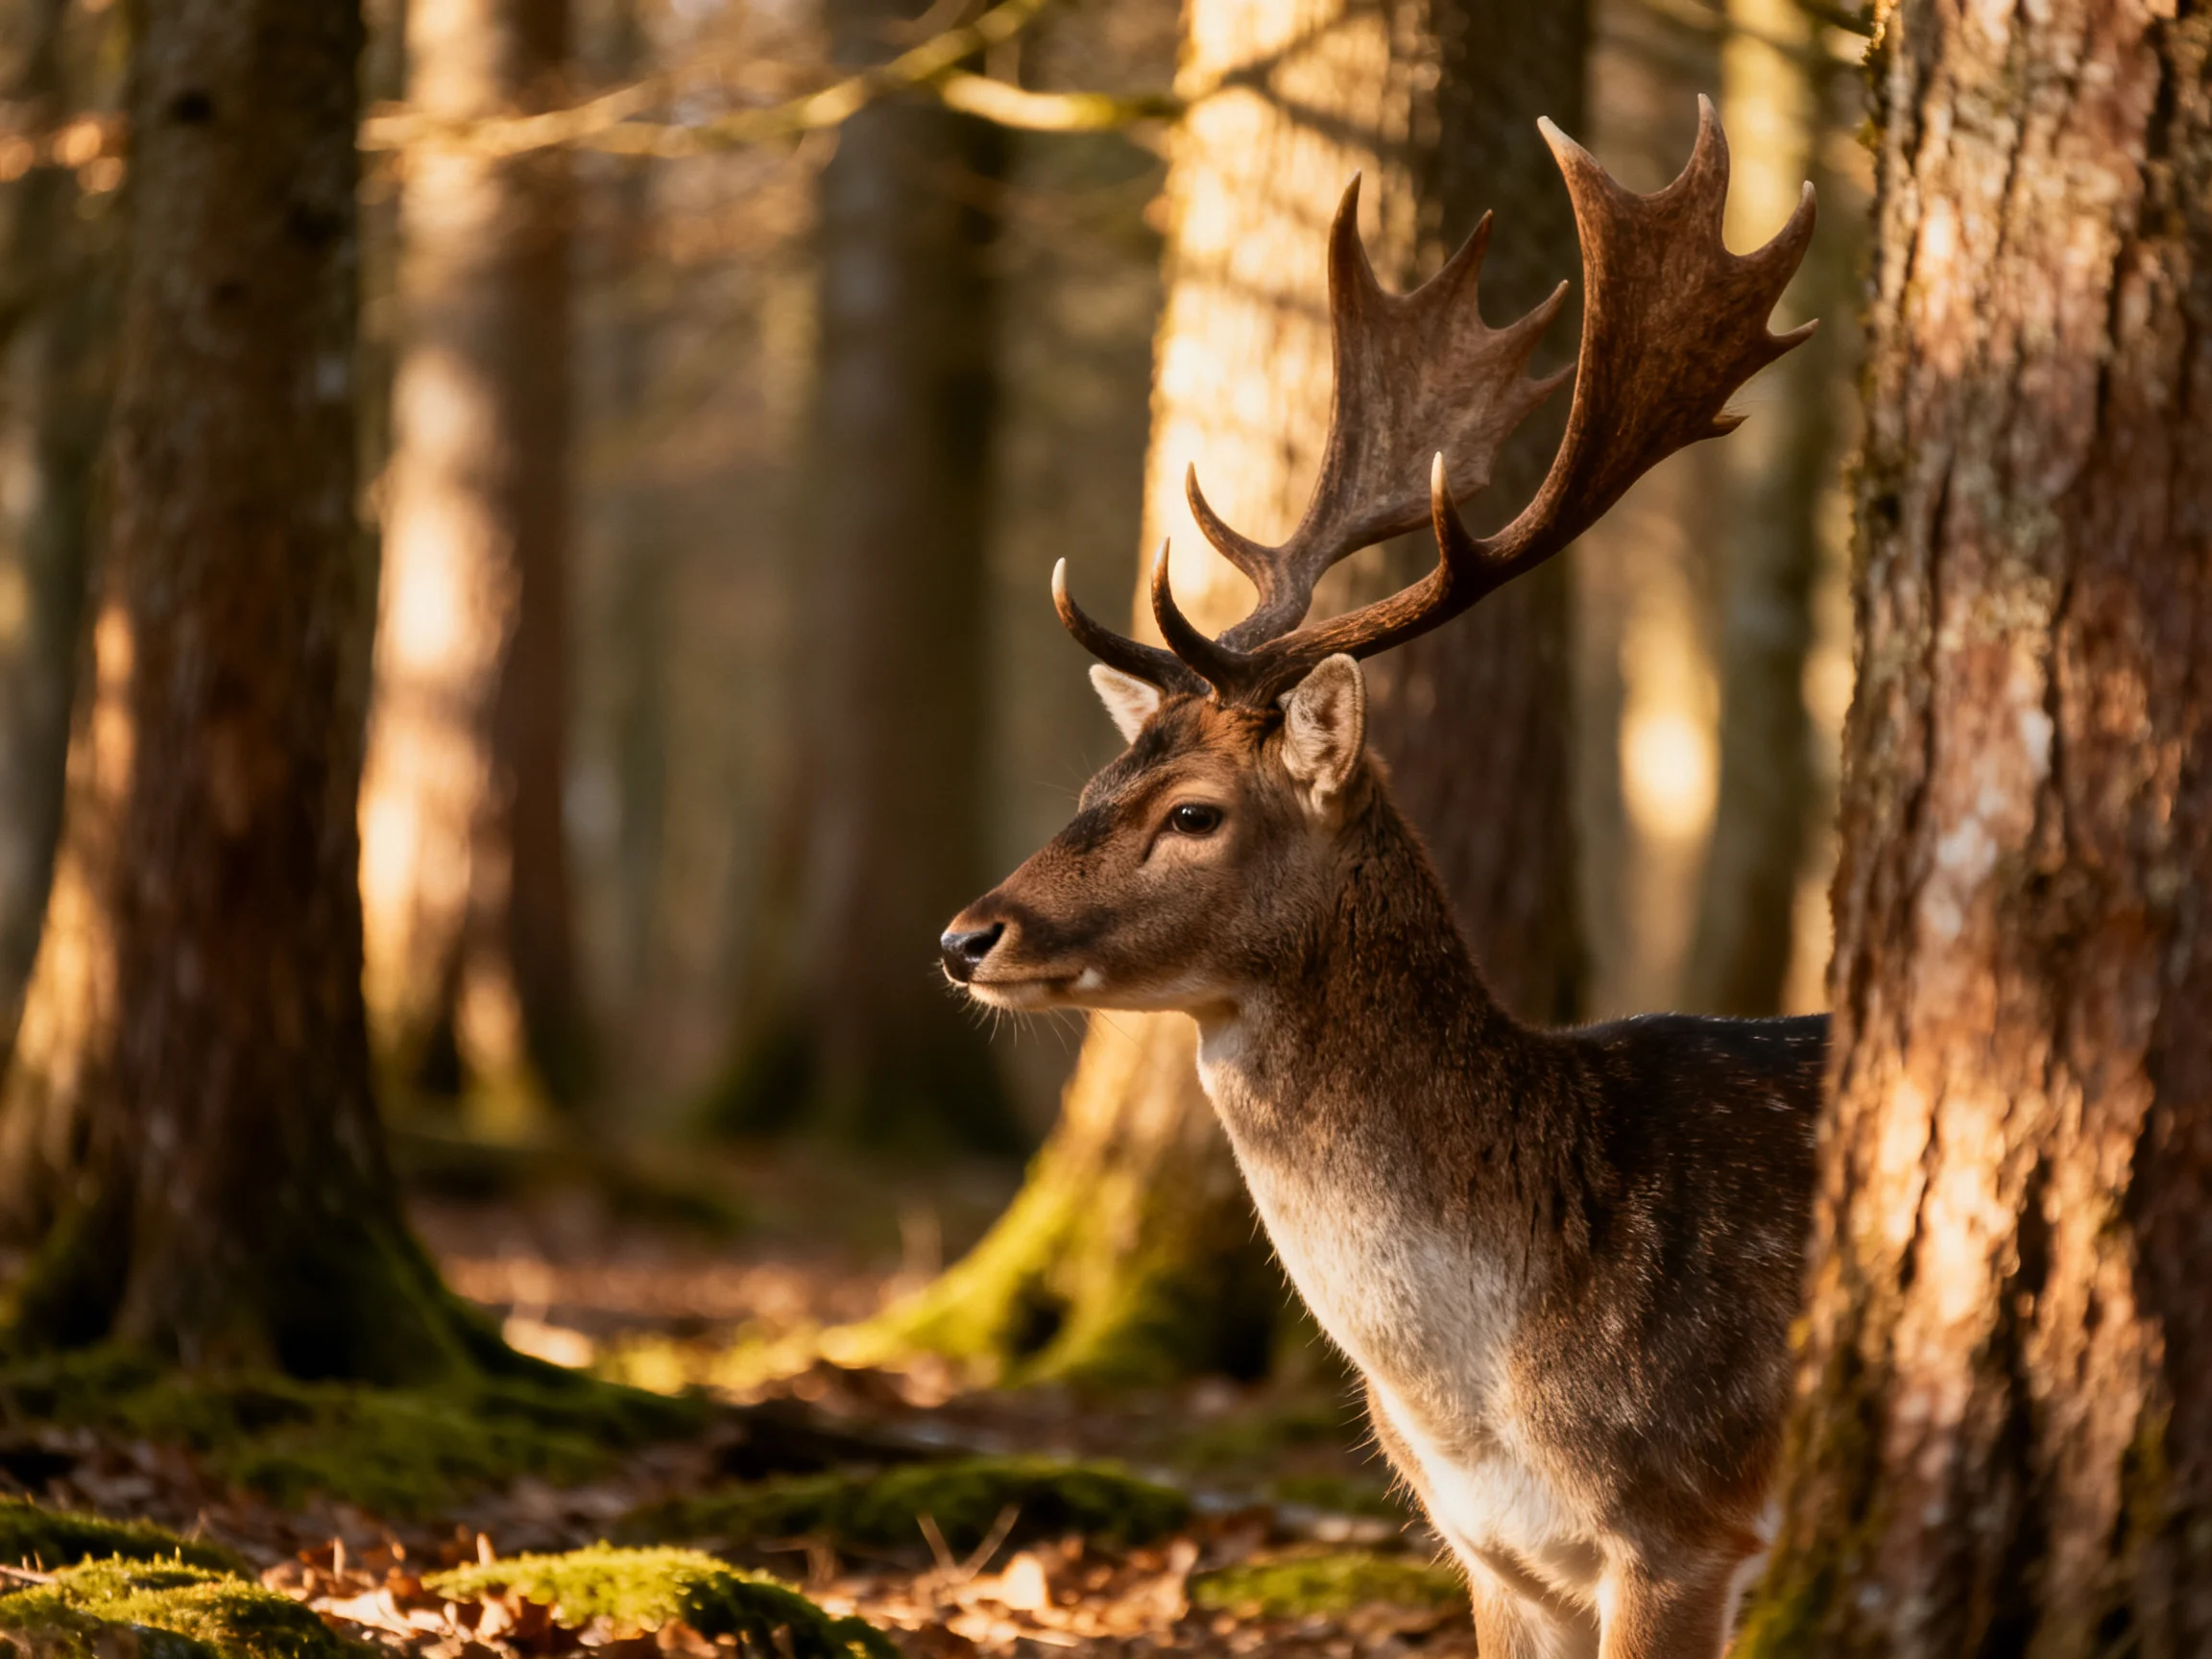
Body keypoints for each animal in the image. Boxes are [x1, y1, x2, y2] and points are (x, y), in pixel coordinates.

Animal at [937, 100, 1826, 1659]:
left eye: (1193, 812)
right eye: (1095, 784)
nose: (967, 935)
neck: (1481, 1399)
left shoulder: (1684, 1521)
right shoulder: (1497, 1555)